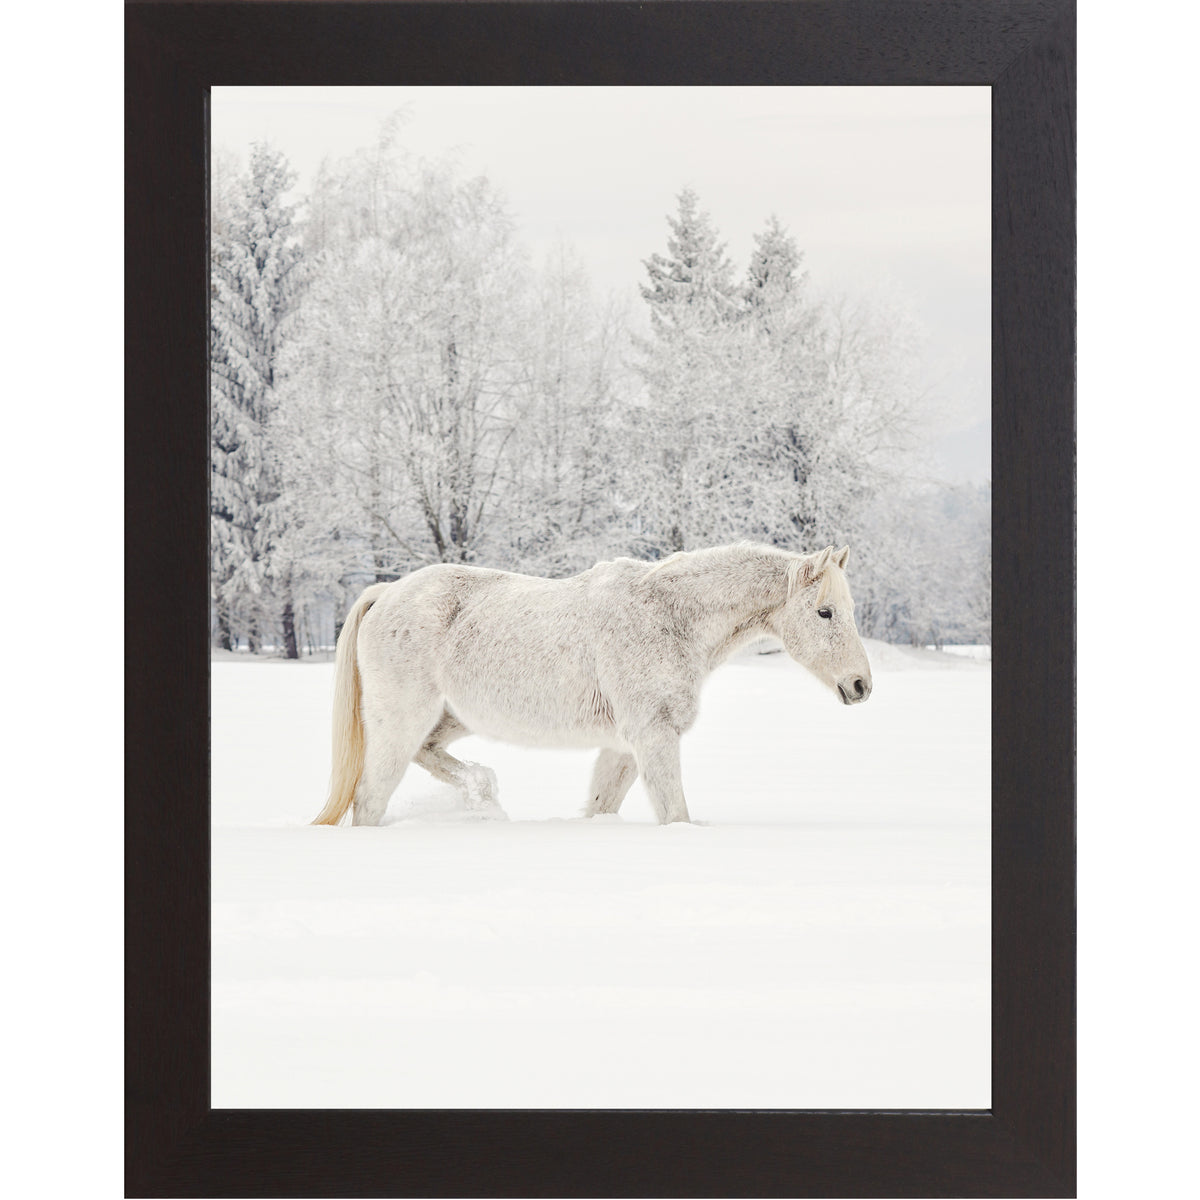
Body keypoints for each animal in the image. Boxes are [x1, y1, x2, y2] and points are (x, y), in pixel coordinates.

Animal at [311, 542, 873, 827]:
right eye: (824, 611)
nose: (861, 685)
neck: (669, 617)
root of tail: (387, 593)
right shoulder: (652, 737)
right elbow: (675, 814)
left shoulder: (623, 747)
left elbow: (602, 806)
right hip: (401, 721)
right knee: (370, 798)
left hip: (449, 718)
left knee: (428, 756)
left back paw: (483, 793)